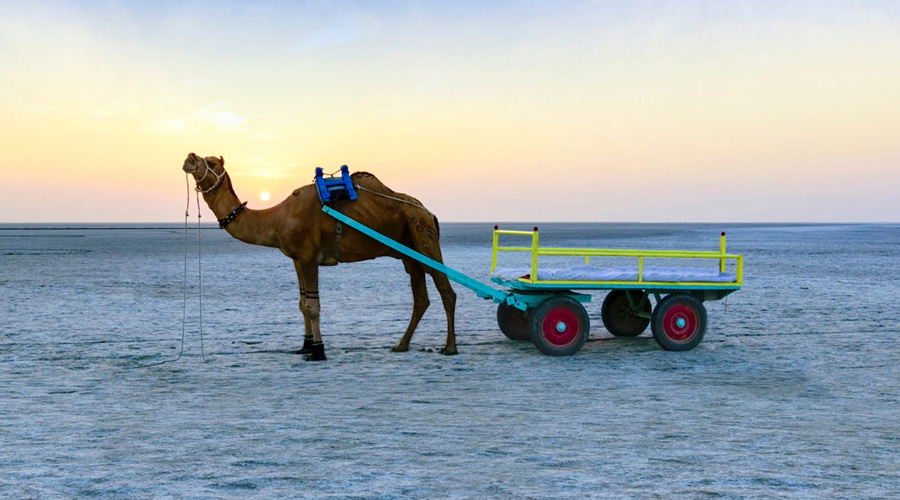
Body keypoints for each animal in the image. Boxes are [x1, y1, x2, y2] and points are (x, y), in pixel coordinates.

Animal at [181, 152, 458, 360]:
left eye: (212, 162)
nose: (189, 156)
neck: (276, 218)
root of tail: (428, 210)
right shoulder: (296, 259)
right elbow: (301, 303)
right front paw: (304, 346)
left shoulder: (308, 256)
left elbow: (313, 306)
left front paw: (318, 352)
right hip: (408, 249)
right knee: (421, 297)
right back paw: (401, 345)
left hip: (422, 232)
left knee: (446, 289)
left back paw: (450, 347)